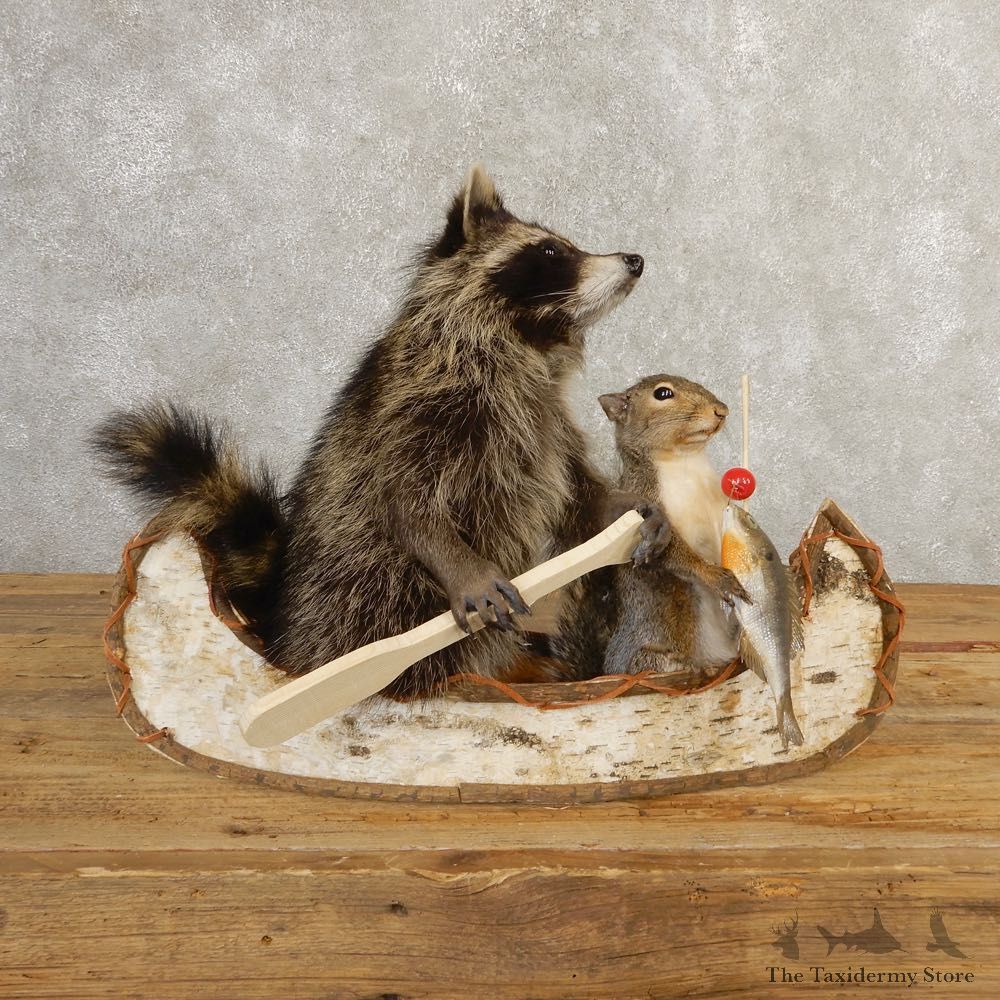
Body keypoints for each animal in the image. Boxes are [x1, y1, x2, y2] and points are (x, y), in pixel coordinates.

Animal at [93, 164, 667, 698]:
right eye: (549, 252)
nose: (635, 260)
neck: (527, 344)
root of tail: (285, 629)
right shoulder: (425, 408)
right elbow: (403, 501)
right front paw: (462, 565)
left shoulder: (549, 420)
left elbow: (577, 493)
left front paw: (624, 507)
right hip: (360, 588)